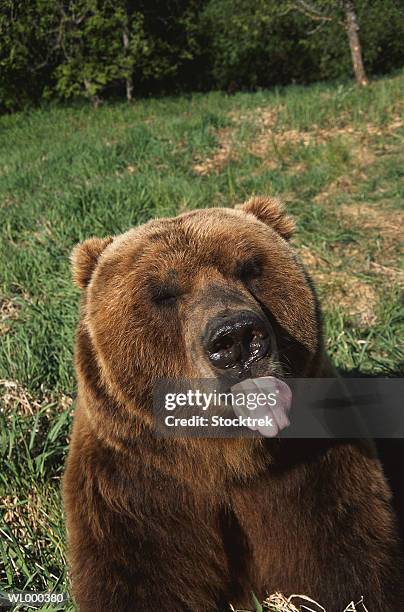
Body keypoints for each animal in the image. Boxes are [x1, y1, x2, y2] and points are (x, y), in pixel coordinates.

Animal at [63, 197, 404, 612]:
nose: (237, 338)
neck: (228, 458)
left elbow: (348, 566)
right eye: (164, 293)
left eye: (249, 269)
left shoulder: (314, 469)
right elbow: (141, 577)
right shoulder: (133, 486)